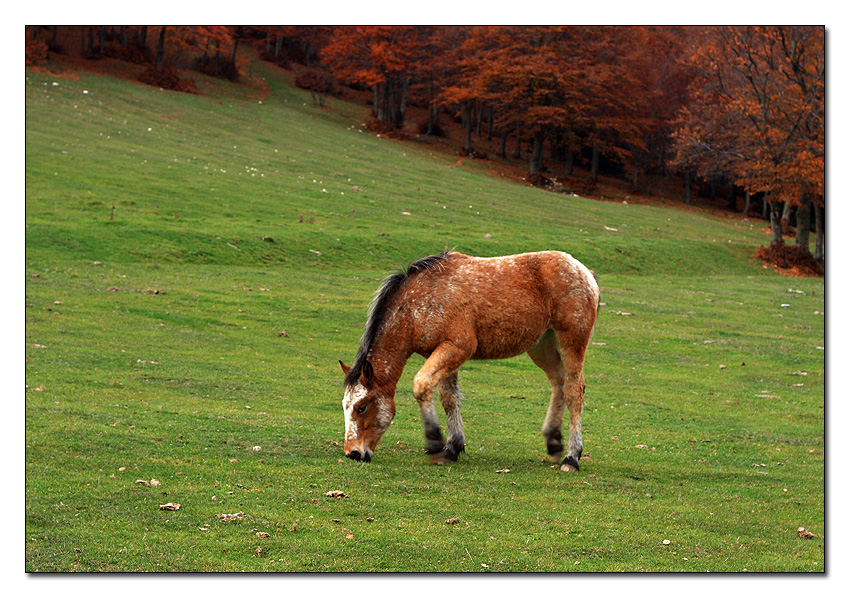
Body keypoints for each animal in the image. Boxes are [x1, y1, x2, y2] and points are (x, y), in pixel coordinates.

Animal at [339, 250, 599, 472]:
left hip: (571, 341)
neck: (419, 302)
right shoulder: (441, 352)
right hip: (542, 346)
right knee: (558, 385)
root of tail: (583, 271)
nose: (353, 453)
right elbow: (448, 397)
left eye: (361, 407)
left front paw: (435, 444)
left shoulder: (457, 348)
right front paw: (452, 447)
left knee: (574, 390)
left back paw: (572, 457)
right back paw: (554, 443)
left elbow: (422, 386)